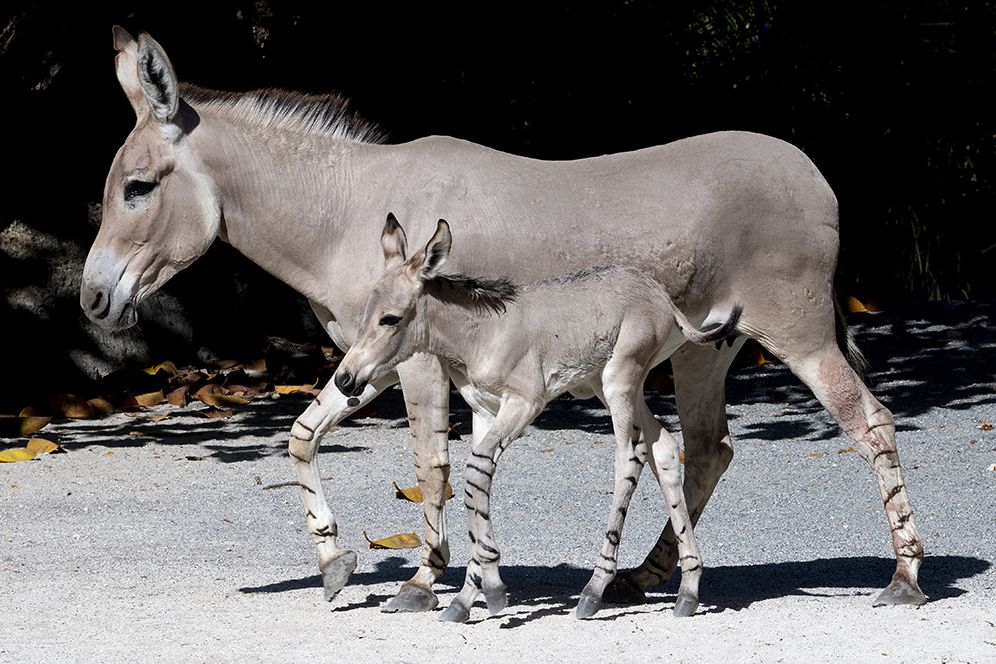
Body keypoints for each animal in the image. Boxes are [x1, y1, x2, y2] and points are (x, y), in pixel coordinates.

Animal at [334, 214, 740, 624]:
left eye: (390, 319)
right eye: (365, 314)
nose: (344, 379)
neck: (481, 335)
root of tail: (660, 295)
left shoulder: (525, 403)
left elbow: (477, 470)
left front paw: (491, 589)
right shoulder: (484, 411)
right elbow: (477, 479)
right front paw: (468, 596)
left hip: (620, 382)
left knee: (629, 456)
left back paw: (594, 590)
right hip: (610, 385)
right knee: (665, 448)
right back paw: (688, 590)